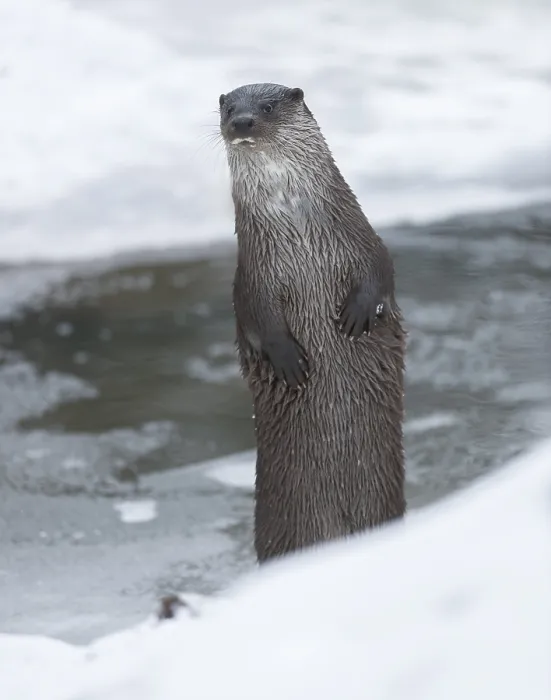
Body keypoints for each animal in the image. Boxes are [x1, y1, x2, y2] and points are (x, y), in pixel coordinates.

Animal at [219, 83, 406, 563]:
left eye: (267, 106)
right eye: (228, 108)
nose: (241, 122)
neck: (299, 228)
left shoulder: (363, 238)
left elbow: (382, 272)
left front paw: (359, 314)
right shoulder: (254, 275)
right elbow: (257, 318)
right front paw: (287, 359)